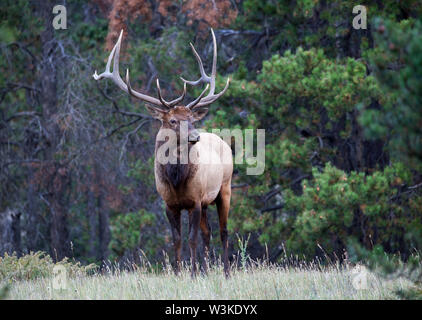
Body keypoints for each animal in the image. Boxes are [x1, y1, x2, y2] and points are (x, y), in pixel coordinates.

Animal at [93, 28, 232, 276]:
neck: (176, 180)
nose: (195, 136)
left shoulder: (195, 200)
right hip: (208, 200)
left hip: (225, 188)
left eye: (192, 118)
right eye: (173, 120)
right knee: (208, 233)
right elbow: (177, 240)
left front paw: (193, 273)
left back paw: (225, 272)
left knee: (224, 232)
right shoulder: (169, 203)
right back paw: (208, 270)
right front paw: (178, 273)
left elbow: (191, 239)